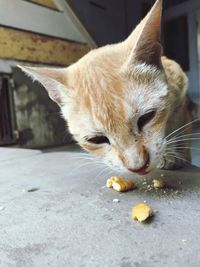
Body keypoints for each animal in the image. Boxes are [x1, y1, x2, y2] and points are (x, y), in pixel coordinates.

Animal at [18, 0, 191, 177]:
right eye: (96, 140)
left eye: (147, 117)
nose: (138, 167)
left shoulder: (181, 90)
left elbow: (180, 125)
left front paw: (174, 154)